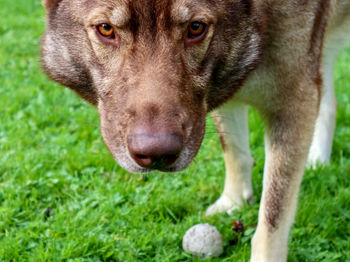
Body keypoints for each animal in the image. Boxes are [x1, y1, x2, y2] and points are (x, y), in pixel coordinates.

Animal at [41, 1, 350, 260]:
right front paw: (234, 203)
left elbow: (272, 217)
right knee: (329, 101)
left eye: (196, 28)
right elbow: (234, 152)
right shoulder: (225, 87)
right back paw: (317, 162)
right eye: (106, 29)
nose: (157, 155)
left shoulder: (293, 99)